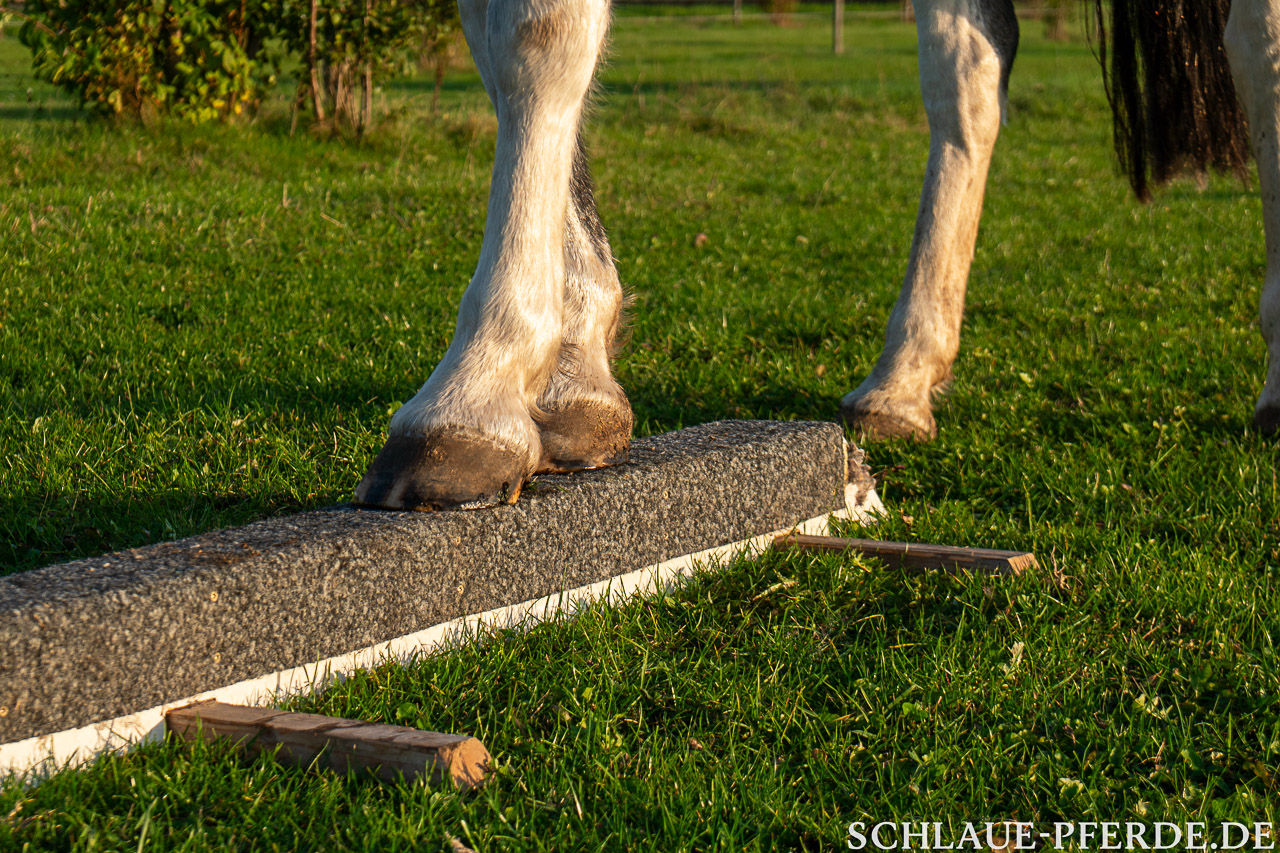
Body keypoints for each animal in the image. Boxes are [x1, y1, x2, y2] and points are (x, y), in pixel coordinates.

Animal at [353, 0, 1277, 511]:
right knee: (967, 65)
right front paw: (573, 372)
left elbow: (537, 35)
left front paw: (471, 395)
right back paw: (903, 376)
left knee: (1259, 43)